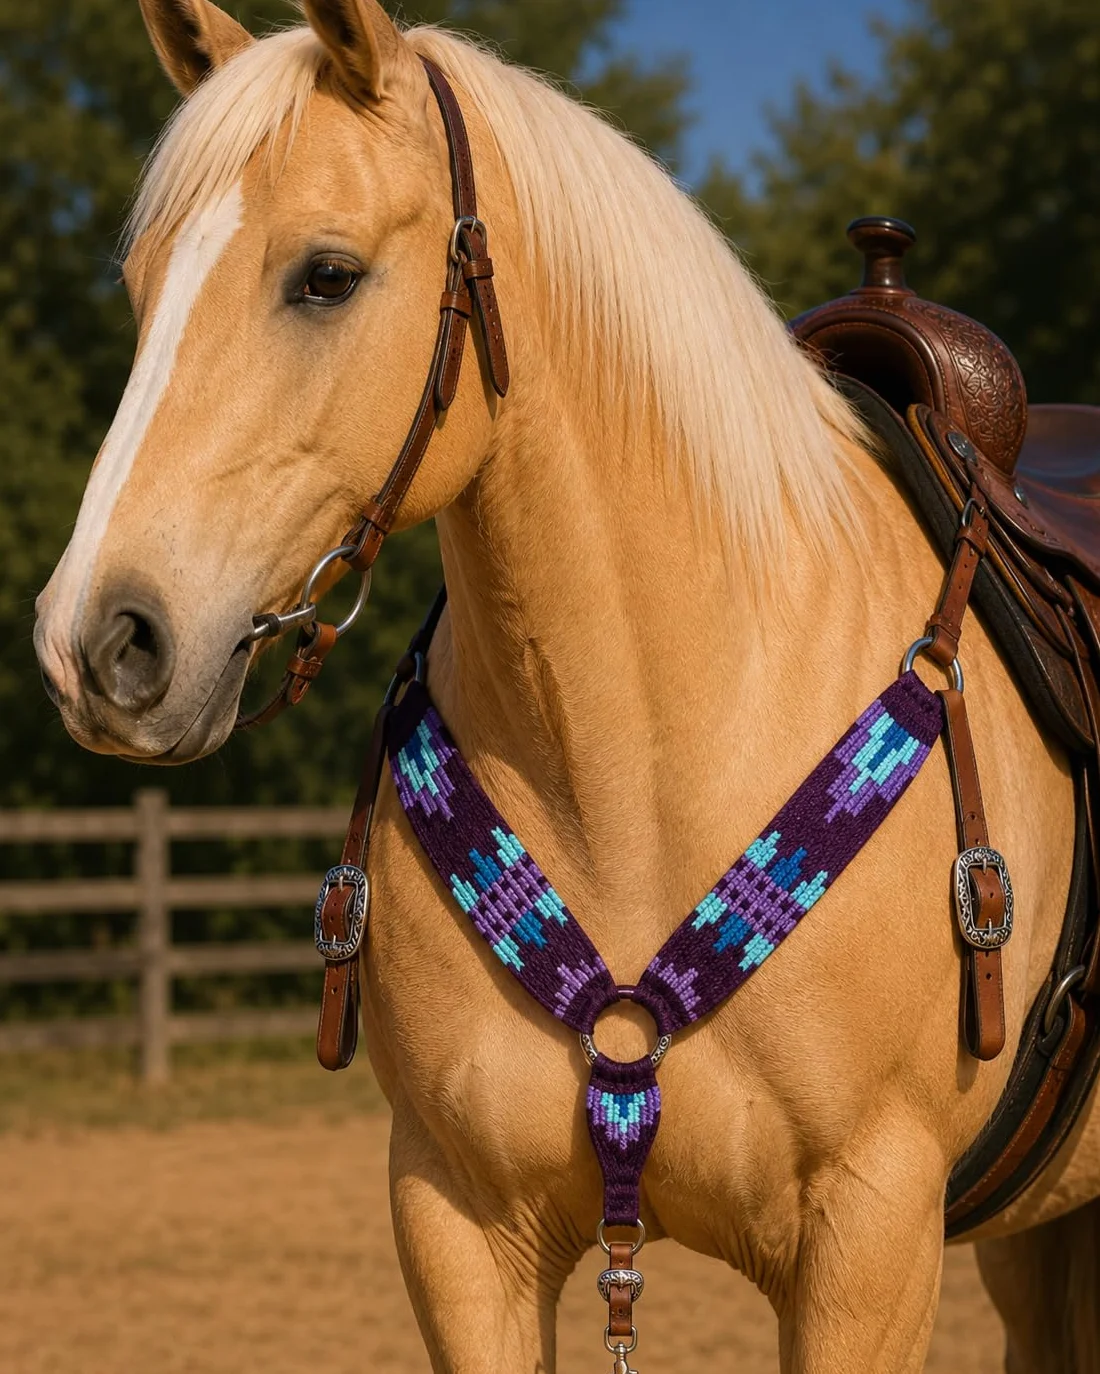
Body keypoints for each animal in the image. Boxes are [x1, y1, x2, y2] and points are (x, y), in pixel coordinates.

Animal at [32, 1, 1100, 1369]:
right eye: (141, 286)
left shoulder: (869, 1241)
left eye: (325, 275)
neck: (646, 754)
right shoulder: (458, 1220)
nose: (96, 642)